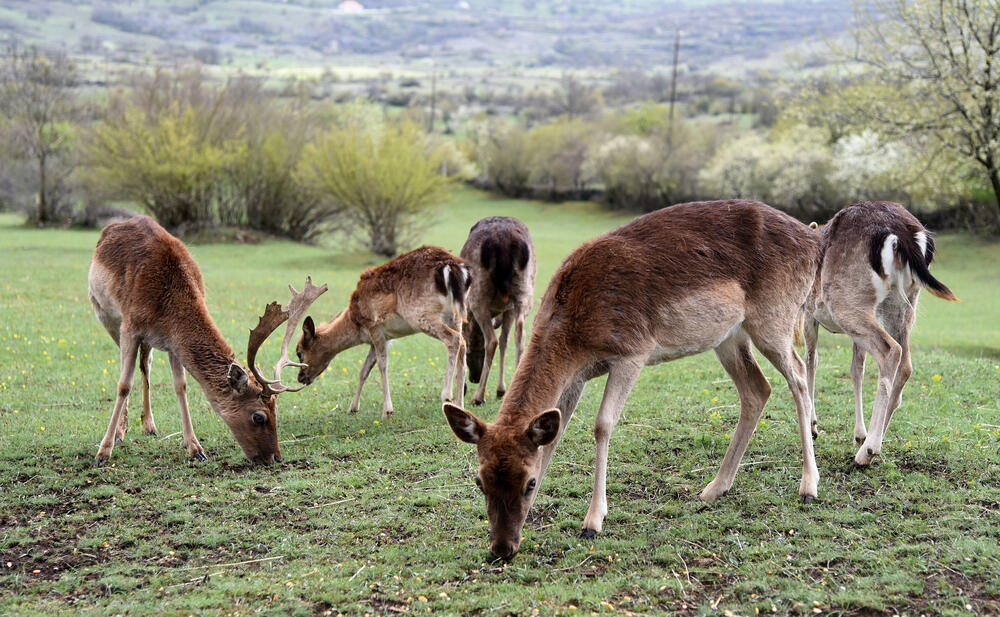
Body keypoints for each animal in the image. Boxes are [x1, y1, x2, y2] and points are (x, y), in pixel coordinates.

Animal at [88, 214, 326, 464]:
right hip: (104, 312)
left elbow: (181, 386)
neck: (166, 304)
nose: (275, 457)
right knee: (129, 368)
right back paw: (121, 431)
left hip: (145, 340)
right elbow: (123, 385)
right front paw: (103, 452)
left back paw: (149, 426)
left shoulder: (172, 343)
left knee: (147, 363)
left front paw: (195, 448)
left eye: (276, 411)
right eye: (258, 417)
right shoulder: (130, 327)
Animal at [294, 244, 470, 414]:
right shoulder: (382, 339)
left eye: (299, 352)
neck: (355, 323)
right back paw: (460, 405)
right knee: (463, 343)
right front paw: (352, 408)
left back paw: (447, 395)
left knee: (453, 338)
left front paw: (387, 410)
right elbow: (364, 370)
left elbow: (382, 364)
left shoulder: (373, 326)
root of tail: (452, 266)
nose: (300, 377)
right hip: (456, 315)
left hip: (421, 314)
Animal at [462, 215, 540, 404]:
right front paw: (501, 389)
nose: (474, 378)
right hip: (524, 291)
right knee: (519, 334)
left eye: (474, 350)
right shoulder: (508, 309)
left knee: (492, 340)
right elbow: (505, 340)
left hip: (478, 294)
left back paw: (478, 397)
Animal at [800, 200, 956, 464]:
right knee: (906, 363)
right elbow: (856, 369)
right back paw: (873, 442)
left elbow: (812, 360)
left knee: (890, 350)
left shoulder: (808, 313)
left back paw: (869, 450)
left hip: (847, 302)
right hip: (902, 303)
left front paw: (813, 426)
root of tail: (904, 233)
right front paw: (858, 433)